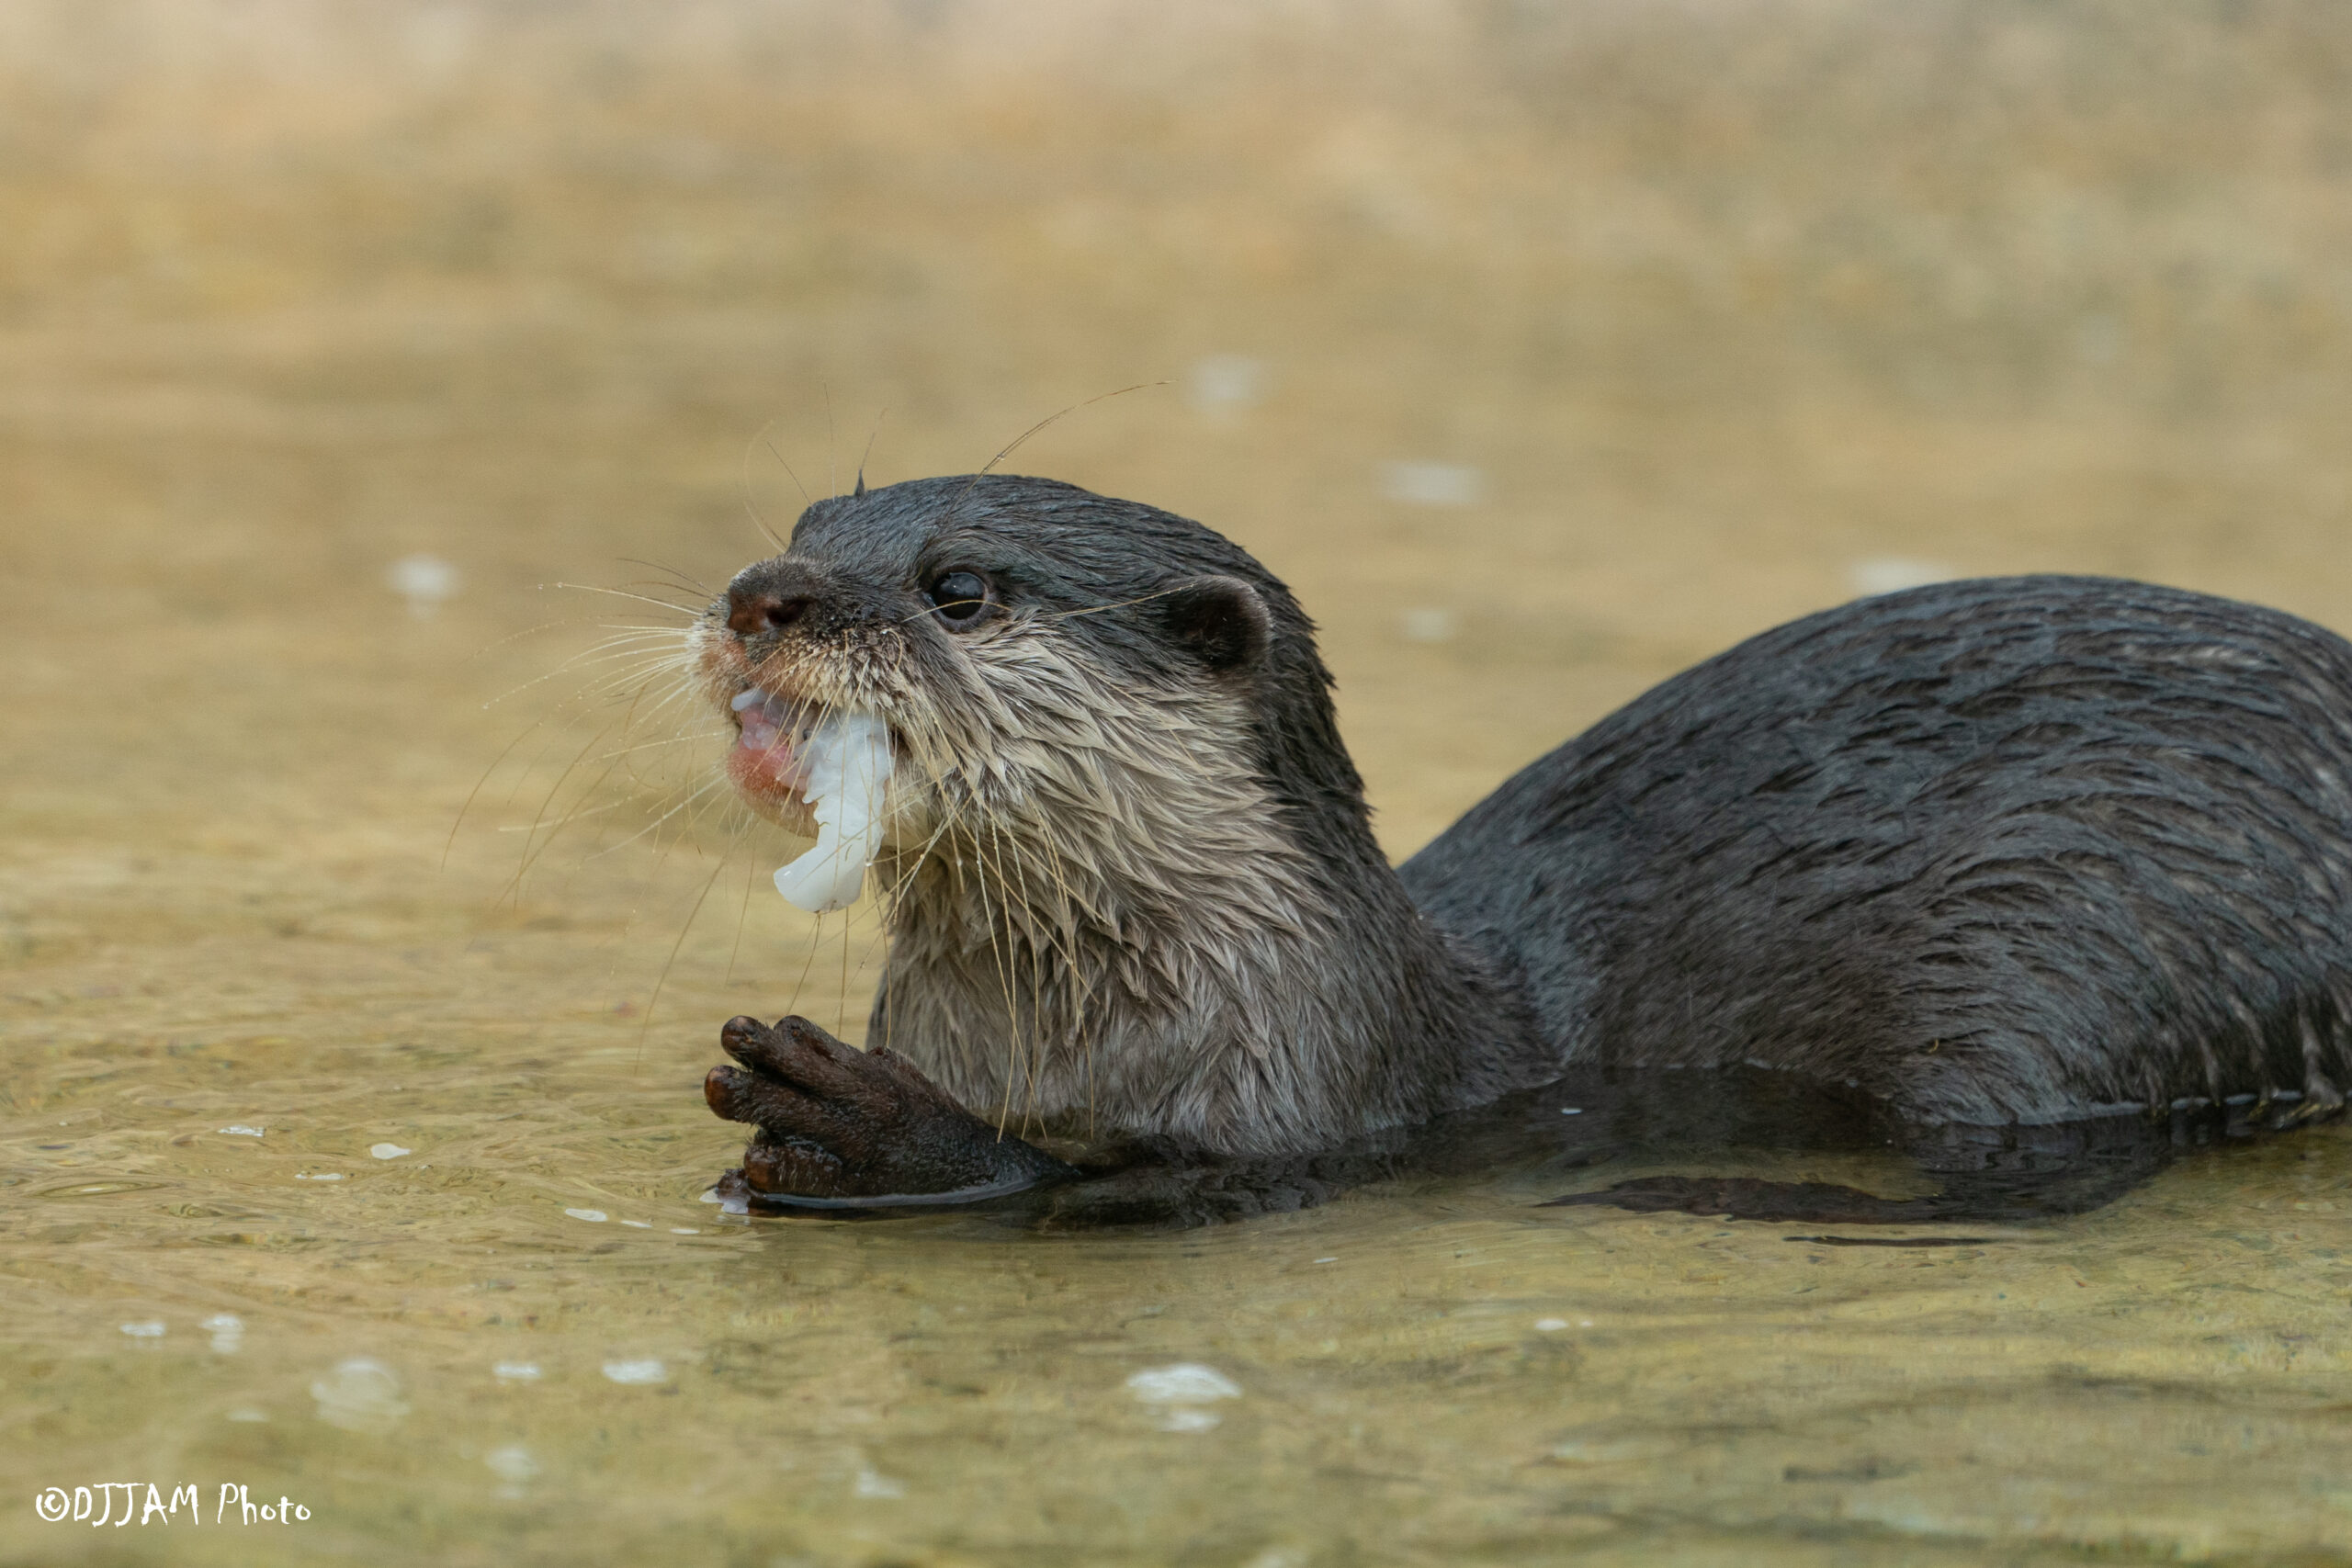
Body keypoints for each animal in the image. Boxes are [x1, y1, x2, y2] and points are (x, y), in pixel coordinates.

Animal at [692, 474, 2352, 1227]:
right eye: (810, 520)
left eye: (959, 588)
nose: (760, 591)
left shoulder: (1309, 1114)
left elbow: (1097, 1186)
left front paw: (870, 1123)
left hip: (2079, 954)